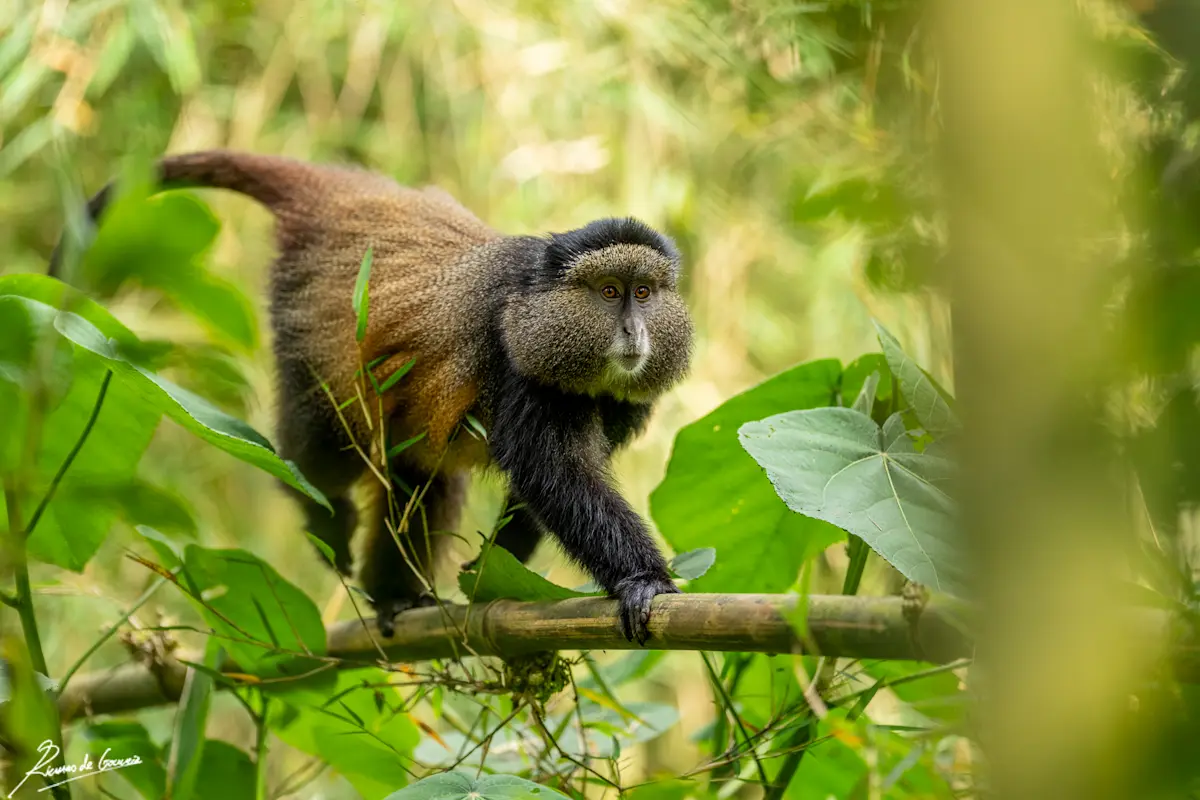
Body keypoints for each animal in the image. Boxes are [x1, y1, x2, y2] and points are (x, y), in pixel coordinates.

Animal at [49, 150, 693, 644]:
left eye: (644, 292)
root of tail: (336, 196)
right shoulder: (519, 369)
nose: (634, 333)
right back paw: (322, 515)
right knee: (323, 454)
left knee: (422, 477)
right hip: (311, 331)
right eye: (609, 292)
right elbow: (558, 476)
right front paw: (642, 582)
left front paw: (490, 567)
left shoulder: (622, 402)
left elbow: (541, 489)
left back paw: (393, 596)